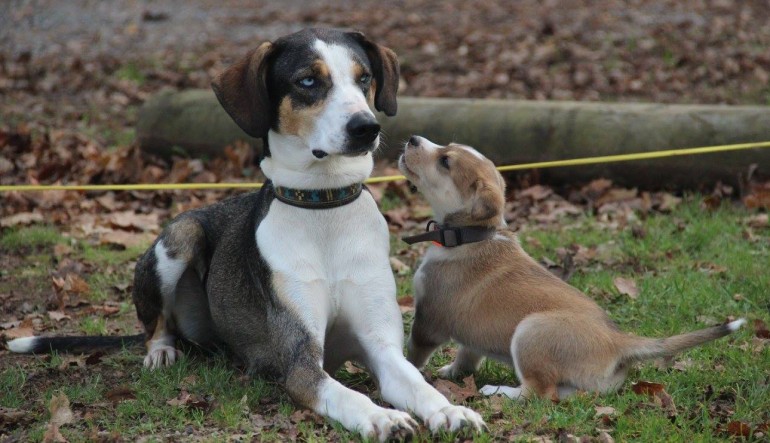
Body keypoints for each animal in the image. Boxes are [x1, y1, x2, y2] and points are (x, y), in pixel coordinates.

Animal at [6, 28, 484, 440]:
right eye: (307, 81)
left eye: (363, 78)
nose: (366, 127)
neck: (323, 206)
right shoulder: (300, 361)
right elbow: (346, 395)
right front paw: (382, 418)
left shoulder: (382, 347)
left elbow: (417, 383)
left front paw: (450, 409)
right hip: (180, 237)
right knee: (154, 322)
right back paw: (161, 351)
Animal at [400, 135, 740, 402]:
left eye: (445, 161)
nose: (412, 139)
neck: (470, 235)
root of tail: (619, 342)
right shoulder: (469, 338)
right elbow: (466, 358)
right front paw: (453, 372)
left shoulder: (428, 320)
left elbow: (413, 354)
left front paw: (407, 370)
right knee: (557, 395)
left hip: (530, 332)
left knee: (537, 392)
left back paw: (498, 392)